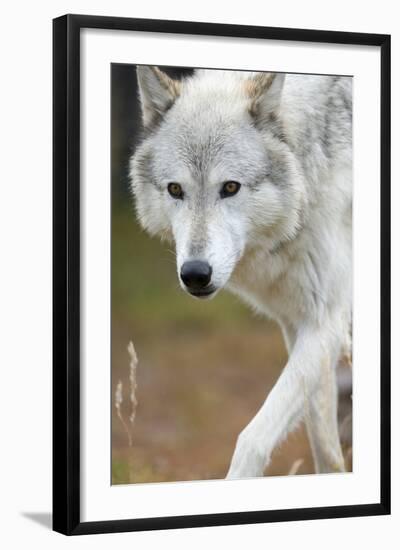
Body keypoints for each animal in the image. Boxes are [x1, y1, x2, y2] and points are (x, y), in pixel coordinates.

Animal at [130, 64, 352, 478]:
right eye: (175, 190)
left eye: (230, 187)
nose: (195, 274)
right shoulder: (300, 324)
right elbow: (325, 447)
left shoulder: (327, 321)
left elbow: (252, 438)